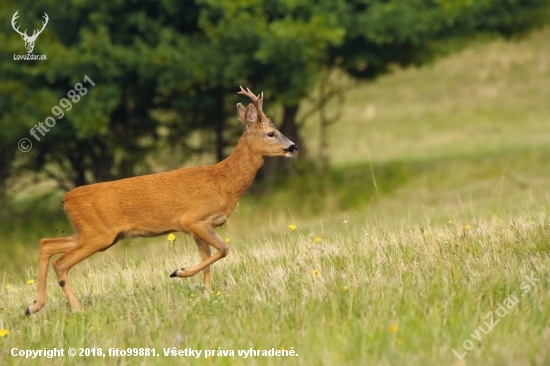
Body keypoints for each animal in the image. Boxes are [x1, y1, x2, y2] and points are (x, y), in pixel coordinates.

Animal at [26, 86, 300, 314]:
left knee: (46, 244)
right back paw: (76, 309)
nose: (294, 146)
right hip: (99, 234)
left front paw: (207, 295)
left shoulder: (197, 227)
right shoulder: (193, 220)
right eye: (271, 133)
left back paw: (34, 306)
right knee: (61, 262)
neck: (223, 182)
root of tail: (66, 198)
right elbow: (223, 249)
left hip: (91, 233)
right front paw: (179, 272)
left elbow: (208, 258)